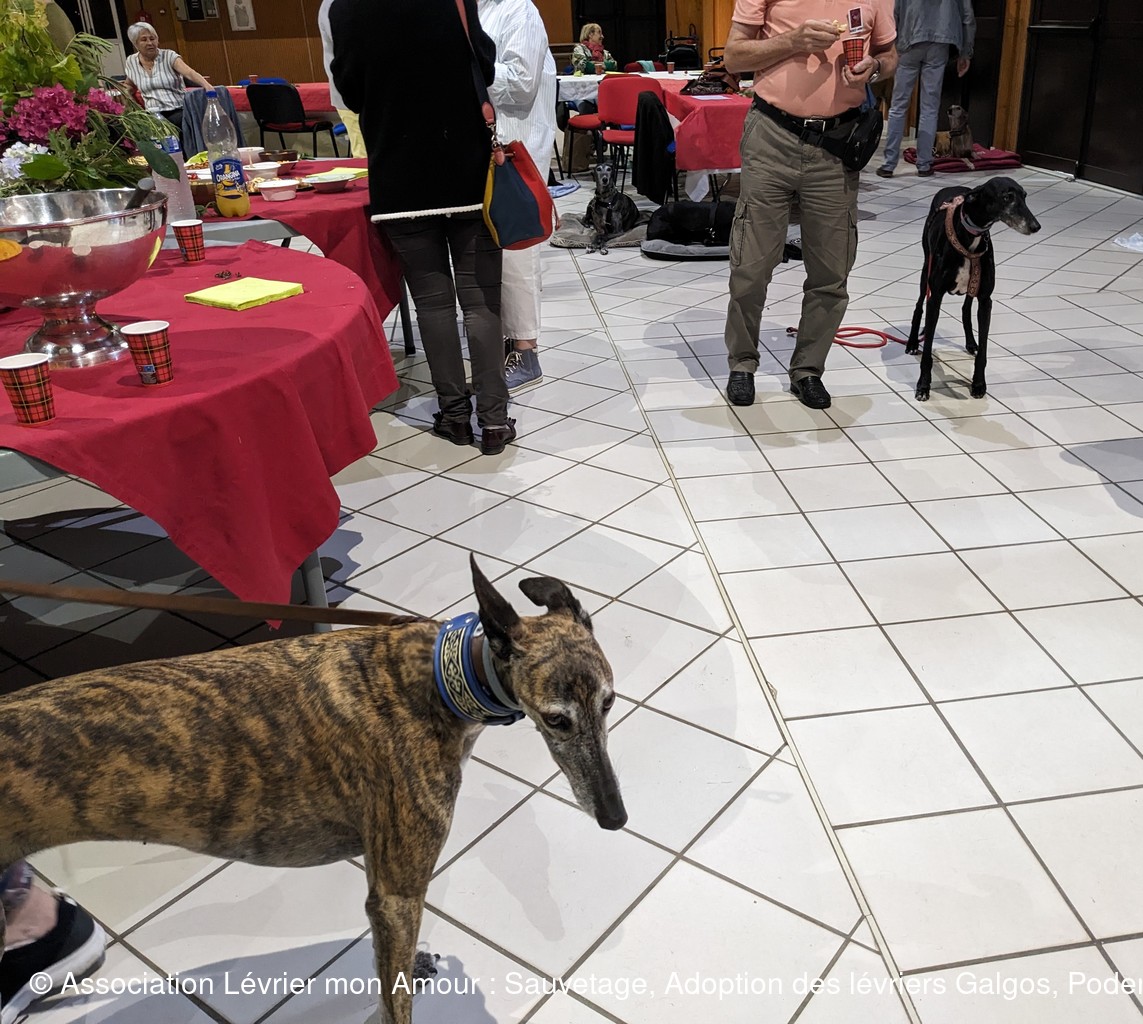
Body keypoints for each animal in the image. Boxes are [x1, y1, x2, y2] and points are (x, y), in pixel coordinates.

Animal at [0, 556, 626, 1024]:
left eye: (609, 702)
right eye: (557, 719)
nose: (616, 817)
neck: (436, 679)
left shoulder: (379, 884)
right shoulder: (398, 893)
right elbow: (395, 998)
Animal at [906, 176, 1041, 402]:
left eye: (1024, 196)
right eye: (1007, 197)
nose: (1035, 226)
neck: (971, 237)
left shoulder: (986, 300)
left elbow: (984, 351)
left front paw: (978, 383)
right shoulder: (936, 297)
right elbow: (928, 351)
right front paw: (923, 386)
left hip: (972, 287)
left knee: (965, 309)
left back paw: (970, 342)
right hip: (926, 269)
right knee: (919, 306)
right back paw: (912, 343)